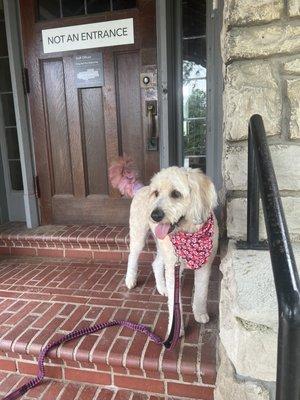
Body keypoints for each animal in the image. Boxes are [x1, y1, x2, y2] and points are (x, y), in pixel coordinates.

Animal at [110, 158, 218, 336]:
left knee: (156, 264)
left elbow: (201, 293)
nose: (154, 215)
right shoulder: (173, 268)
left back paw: (162, 288)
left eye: (176, 194)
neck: (189, 234)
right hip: (139, 235)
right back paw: (130, 279)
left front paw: (200, 313)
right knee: (132, 256)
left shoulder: (204, 266)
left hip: (163, 247)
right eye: (156, 193)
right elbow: (175, 303)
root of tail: (142, 188)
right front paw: (176, 329)